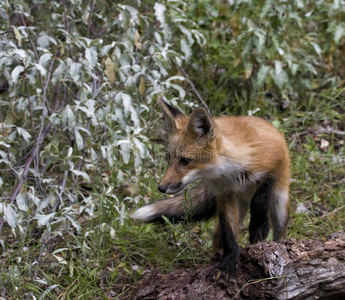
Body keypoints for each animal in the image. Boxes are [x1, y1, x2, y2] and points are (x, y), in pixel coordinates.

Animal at [130, 99, 288, 282]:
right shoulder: (224, 195)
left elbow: (260, 199)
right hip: (236, 210)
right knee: (219, 235)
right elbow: (229, 235)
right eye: (169, 158)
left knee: (279, 233)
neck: (231, 172)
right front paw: (228, 263)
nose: (161, 188)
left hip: (280, 205)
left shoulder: (274, 163)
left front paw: (258, 227)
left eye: (185, 160)